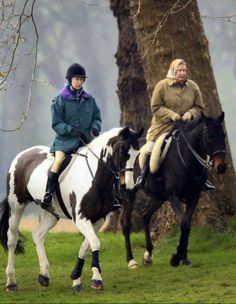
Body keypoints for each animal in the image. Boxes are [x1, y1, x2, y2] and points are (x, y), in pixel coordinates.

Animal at [0, 126, 142, 292]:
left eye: (137, 154)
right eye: (122, 151)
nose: (129, 187)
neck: (95, 178)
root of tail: (23, 154)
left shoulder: (98, 219)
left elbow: (85, 246)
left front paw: (78, 278)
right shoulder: (81, 218)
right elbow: (95, 242)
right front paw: (96, 279)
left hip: (52, 213)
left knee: (38, 235)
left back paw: (44, 275)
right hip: (16, 206)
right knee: (12, 239)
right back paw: (11, 282)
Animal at [120, 111, 227, 268]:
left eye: (223, 135)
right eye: (209, 136)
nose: (222, 167)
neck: (187, 159)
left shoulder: (193, 198)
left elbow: (187, 226)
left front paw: (184, 258)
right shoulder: (174, 198)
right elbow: (184, 224)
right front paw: (176, 258)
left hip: (159, 197)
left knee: (145, 215)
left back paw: (148, 255)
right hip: (129, 193)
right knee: (126, 224)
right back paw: (131, 260)